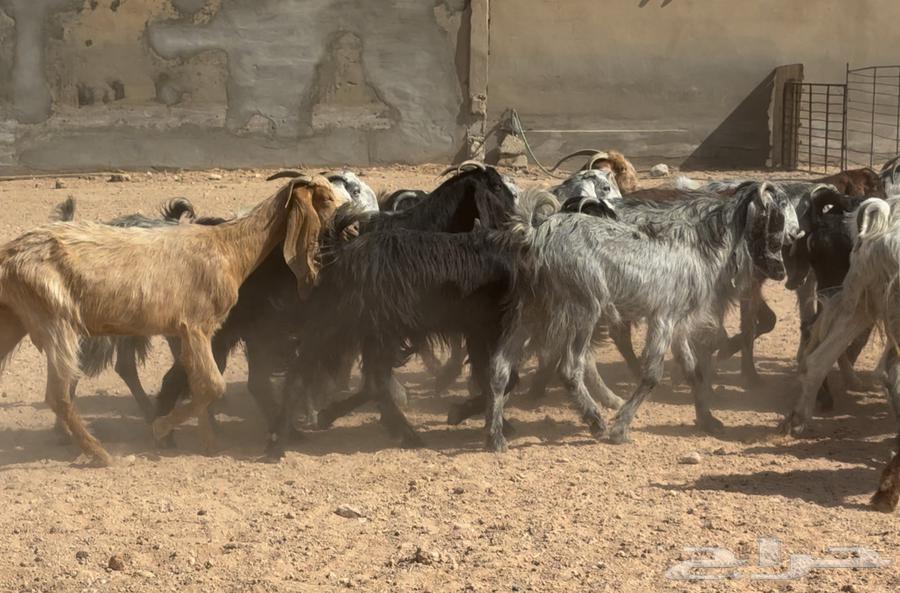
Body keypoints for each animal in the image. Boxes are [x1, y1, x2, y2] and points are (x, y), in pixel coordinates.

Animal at [0, 175, 341, 465]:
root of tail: (9, 255)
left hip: (15, 320)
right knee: (59, 395)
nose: (347, 221)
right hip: (57, 323)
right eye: (325, 198)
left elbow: (198, 383)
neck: (229, 247)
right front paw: (163, 430)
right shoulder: (197, 326)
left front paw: (207, 442)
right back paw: (100, 453)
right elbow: (212, 385)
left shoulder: (190, 332)